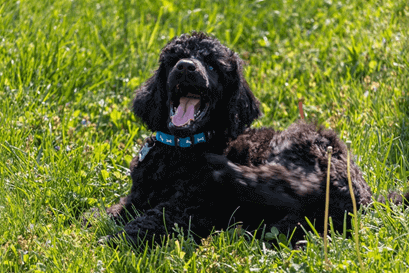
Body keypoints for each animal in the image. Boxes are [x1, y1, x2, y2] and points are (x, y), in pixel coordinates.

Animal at [102, 31, 404, 244]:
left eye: (212, 67)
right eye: (174, 60)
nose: (186, 67)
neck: (180, 146)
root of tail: (366, 198)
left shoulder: (189, 206)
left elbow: (152, 220)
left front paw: (111, 241)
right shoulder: (138, 197)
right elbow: (114, 211)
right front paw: (99, 223)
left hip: (296, 146)